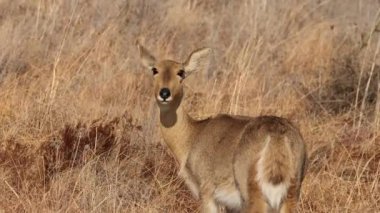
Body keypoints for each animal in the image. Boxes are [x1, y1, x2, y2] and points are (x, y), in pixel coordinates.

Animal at [137, 42, 306, 212]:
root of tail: (277, 135)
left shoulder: (206, 191)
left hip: (253, 193)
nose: (164, 93)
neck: (192, 137)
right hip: (291, 193)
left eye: (181, 72)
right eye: (154, 70)